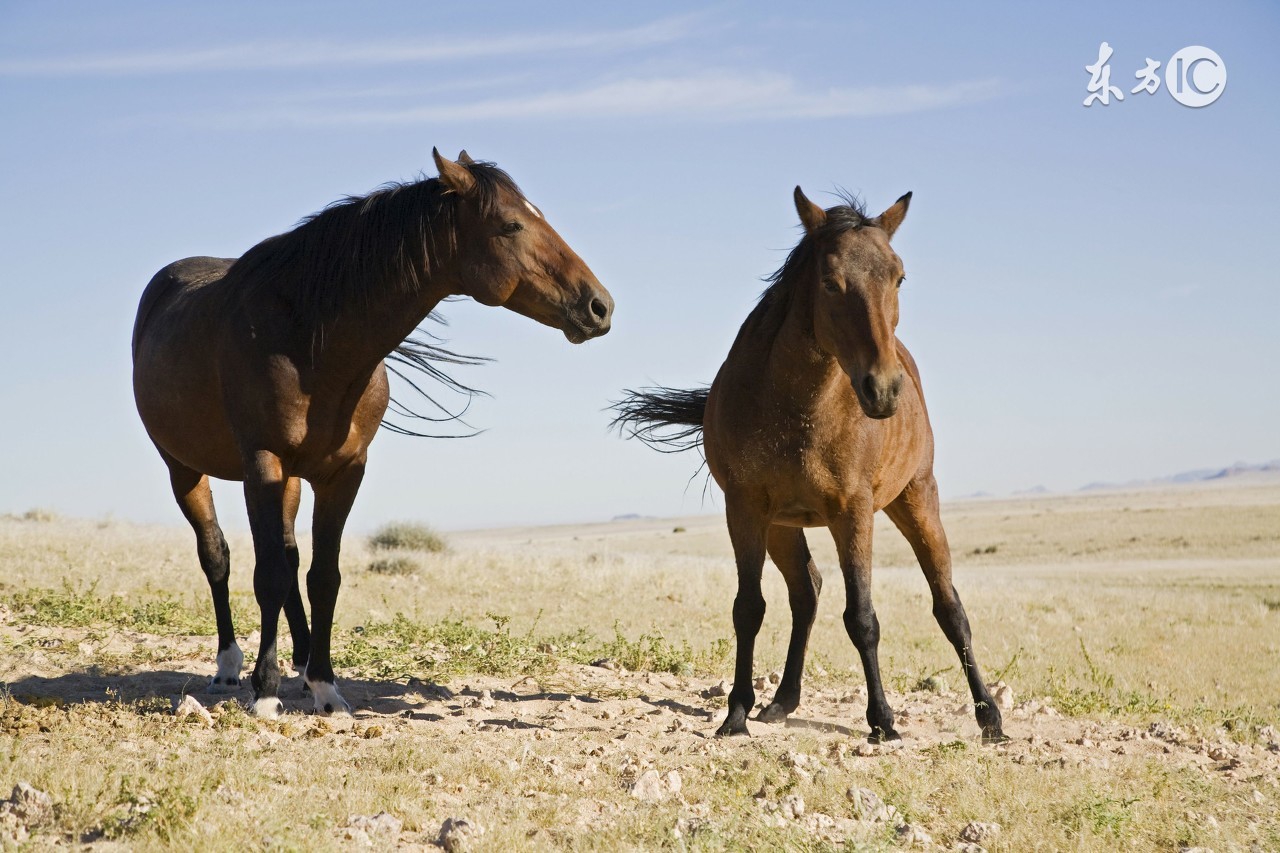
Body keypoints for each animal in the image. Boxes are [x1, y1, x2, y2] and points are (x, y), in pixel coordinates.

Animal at [132, 149, 611, 712]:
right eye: (511, 224)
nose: (600, 306)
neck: (309, 339)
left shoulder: (343, 472)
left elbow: (322, 577)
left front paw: (324, 685)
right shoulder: (262, 462)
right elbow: (267, 574)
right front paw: (265, 692)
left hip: (290, 481)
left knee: (290, 556)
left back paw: (299, 662)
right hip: (185, 469)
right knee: (218, 558)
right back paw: (230, 667)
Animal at [614, 184, 1003, 737]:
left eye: (899, 275)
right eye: (829, 280)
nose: (883, 389)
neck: (797, 408)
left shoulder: (853, 512)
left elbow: (862, 617)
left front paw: (882, 720)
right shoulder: (746, 509)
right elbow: (749, 609)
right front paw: (736, 712)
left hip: (915, 499)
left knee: (949, 606)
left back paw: (989, 714)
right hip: (783, 525)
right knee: (807, 591)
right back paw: (782, 700)